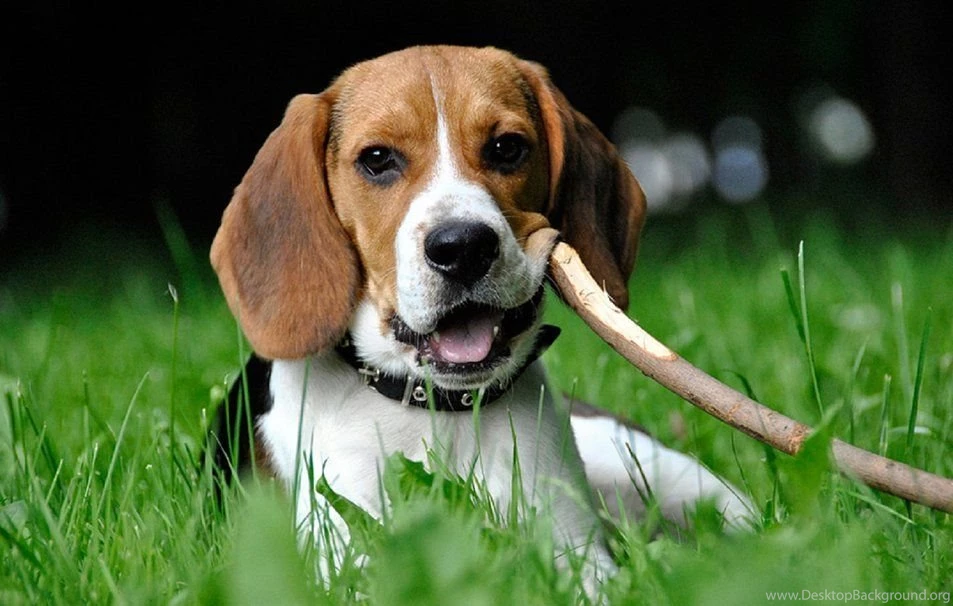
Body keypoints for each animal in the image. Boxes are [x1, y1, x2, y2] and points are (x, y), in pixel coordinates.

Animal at [210, 45, 752, 592]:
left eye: (507, 148)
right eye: (377, 159)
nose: (463, 247)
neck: (438, 410)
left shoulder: (579, 556)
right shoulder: (348, 560)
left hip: (668, 477)